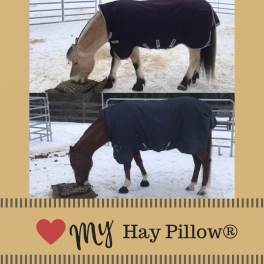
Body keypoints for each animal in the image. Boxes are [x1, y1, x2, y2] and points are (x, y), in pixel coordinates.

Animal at [67, 0, 220, 92]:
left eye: (76, 62)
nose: (73, 80)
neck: (108, 23)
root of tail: (208, 6)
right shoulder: (120, 44)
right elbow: (115, 63)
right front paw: (110, 83)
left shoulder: (127, 45)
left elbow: (135, 64)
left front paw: (139, 84)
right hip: (197, 44)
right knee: (198, 60)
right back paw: (193, 78)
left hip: (194, 43)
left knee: (194, 61)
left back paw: (184, 83)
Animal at [69, 96, 217, 195]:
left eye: (74, 163)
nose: (79, 183)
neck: (109, 124)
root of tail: (207, 109)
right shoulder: (133, 146)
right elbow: (139, 162)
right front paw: (144, 181)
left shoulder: (125, 147)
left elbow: (127, 166)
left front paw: (125, 186)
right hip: (194, 146)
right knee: (198, 163)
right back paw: (191, 185)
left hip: (196, 145)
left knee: (205, 162)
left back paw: (202, 189)